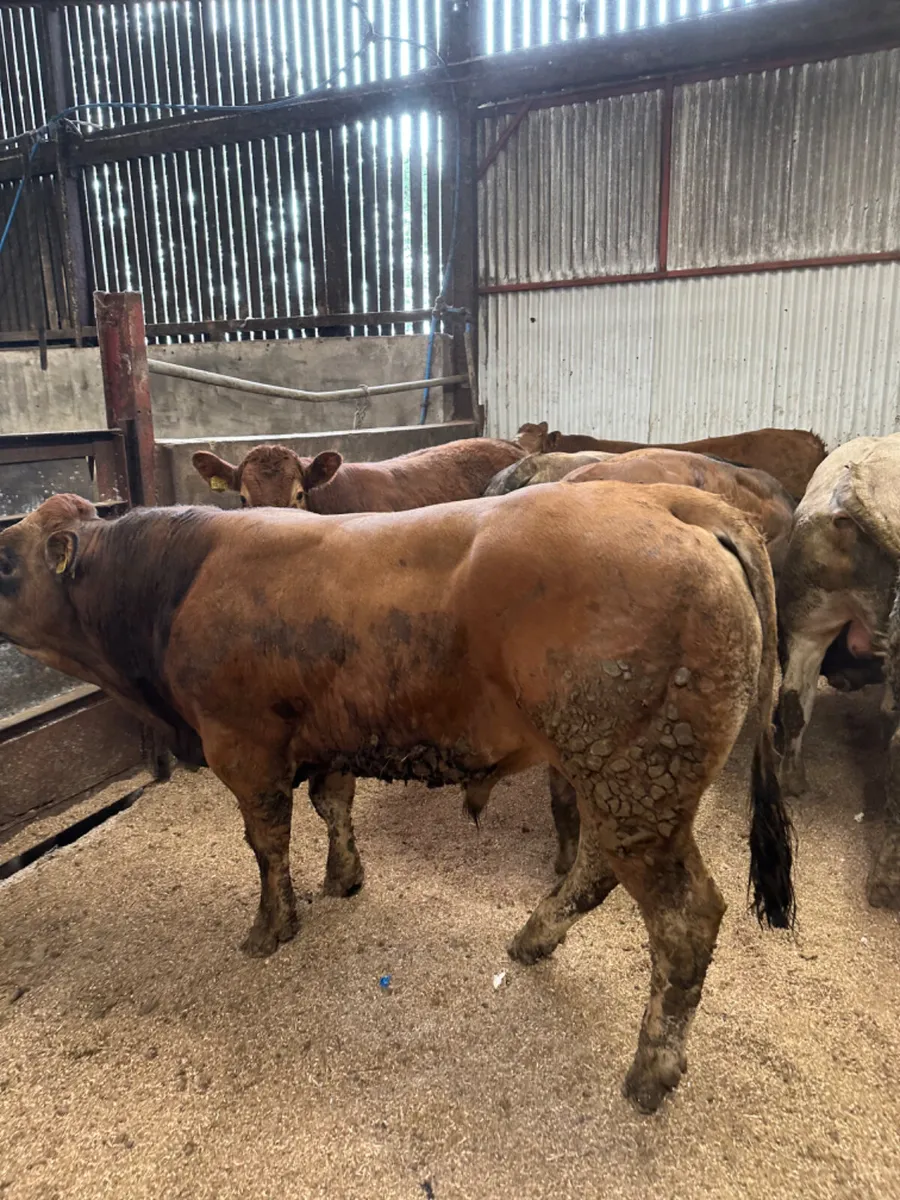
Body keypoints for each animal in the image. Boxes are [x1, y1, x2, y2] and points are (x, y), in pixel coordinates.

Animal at [0, 485, 793, 1113]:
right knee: (597, 869)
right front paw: (342, 878)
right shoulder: (329, 737)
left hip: (635, 777)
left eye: (6, 561)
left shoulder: (243, 745)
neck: (181, 581)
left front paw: (270, 927)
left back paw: (650, 1070)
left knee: (684, 918)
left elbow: (267, 842)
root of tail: (668, 499)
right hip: (617, 779)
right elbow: (333, 806)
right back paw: (533, 938)